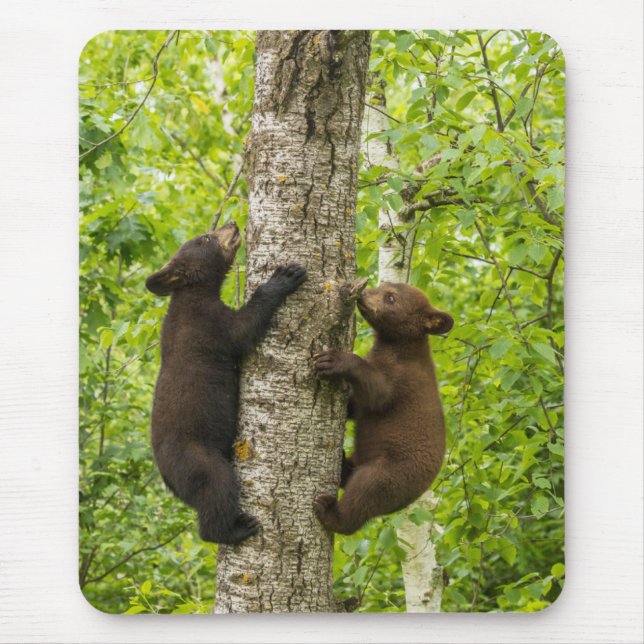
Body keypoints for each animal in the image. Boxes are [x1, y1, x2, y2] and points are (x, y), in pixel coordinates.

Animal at [145, 221, 307, 544]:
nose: (231, 224)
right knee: (217, 486)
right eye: (206, 238)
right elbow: (243, 329)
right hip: (197, 458)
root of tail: (168, 480)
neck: (192, 295)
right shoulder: (208, 324)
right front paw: (284, 277)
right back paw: (235, 529)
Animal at [312, 281, 453, 535]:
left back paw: (330, 512)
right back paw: (343, 463)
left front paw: (333, 360)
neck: (399, 348)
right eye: (383, 285)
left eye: (390, 298)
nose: (363, 293)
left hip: (391, 474)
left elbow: (377, 394)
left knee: (365, 492)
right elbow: (356, 404)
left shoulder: (403, 379)